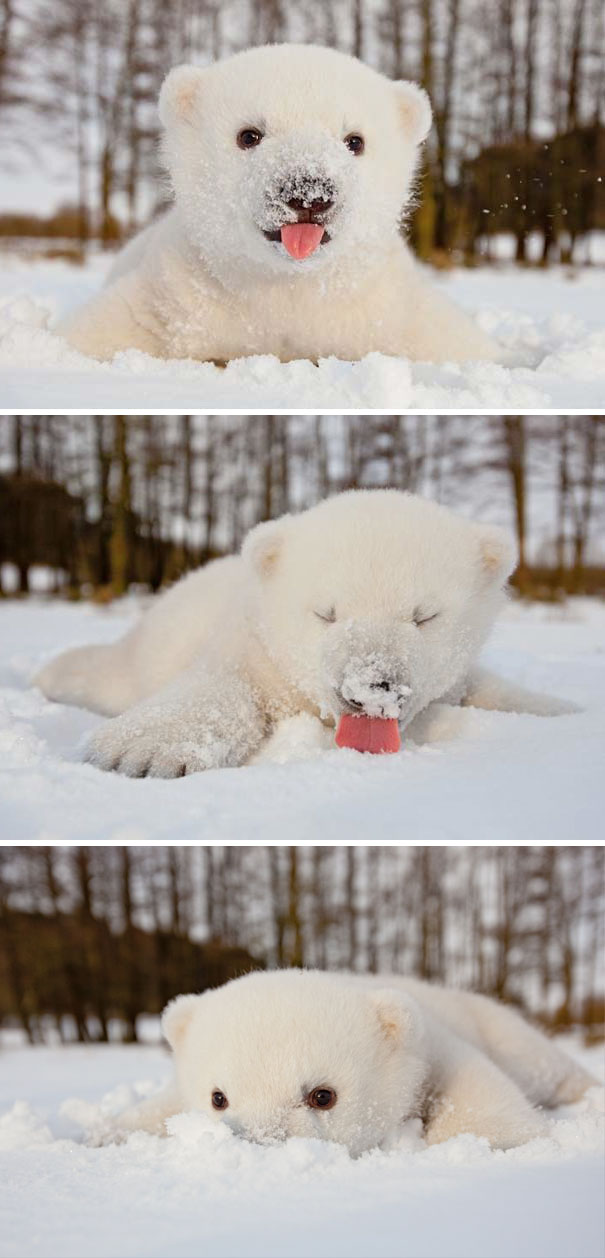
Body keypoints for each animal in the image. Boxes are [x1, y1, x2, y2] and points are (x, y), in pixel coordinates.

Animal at [34, 489, 576, 778]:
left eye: (424, 616)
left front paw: (564, 712)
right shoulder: (252, 646)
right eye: (326, 613)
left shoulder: (458, 675)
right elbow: (221, 685)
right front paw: (138, 751)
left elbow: (490, 689)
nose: (371, 687)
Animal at [57, 43, 498, 366]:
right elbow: (100, 332)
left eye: (355, 140)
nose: (309, 192)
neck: (288, 288)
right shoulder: (174, 298)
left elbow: (450, 342)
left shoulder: (386, 312)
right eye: (249, 135)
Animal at [109, 970, 596, 1154]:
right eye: (218, 1097)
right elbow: (157, 1110)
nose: (262, 1143)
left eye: (323, 1095)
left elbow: (479, 1101)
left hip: (497, 1026)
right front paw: (105, 1132)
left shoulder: (436, 1048)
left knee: (543, 1064)